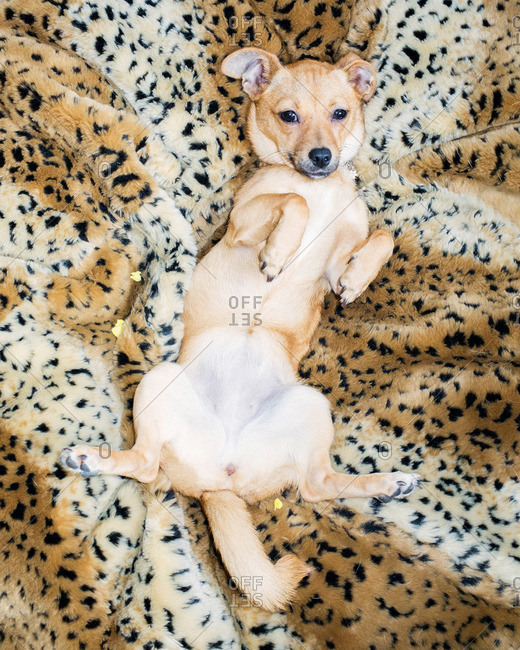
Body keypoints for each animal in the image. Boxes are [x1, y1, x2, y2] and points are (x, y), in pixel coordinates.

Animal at [61, 48, 420, 612]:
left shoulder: (335, 259)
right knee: (144, 465)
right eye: (288, 115)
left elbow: (380, 237)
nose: (322, 157)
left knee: (317, 485)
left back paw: (390, 483)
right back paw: (90, 460)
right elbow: (291, 205)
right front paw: (279, 253)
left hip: (309, 408)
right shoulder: (244, 225)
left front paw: (357, 280)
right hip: (159, 384)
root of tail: (221, 483)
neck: (317, 186)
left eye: (340, 113)